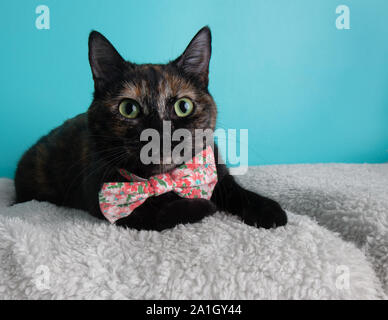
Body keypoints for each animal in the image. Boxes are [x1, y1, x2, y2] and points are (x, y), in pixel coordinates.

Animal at [14, 25, 288, 230]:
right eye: (128, 108)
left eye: (183, 106)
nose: (159, 132)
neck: (165, 178)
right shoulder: (112, 206)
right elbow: (161, 213)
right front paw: (205, 206)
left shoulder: (217, 171)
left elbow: (237, 191)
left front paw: (269, 210)